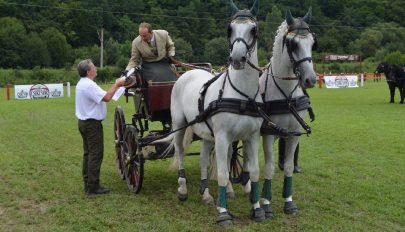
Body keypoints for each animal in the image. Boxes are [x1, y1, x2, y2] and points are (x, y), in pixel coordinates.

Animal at [170, 0, 266, 226]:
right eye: (229, 29)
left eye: (253, 29)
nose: (237, 59)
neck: (241, 95)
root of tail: (187, 73)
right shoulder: (222, 137)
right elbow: (223, 173)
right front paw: (223, 214)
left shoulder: (252, 136)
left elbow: (254, 172)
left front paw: (257, 209)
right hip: (179, 124)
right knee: (180, 150)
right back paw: (182, 189)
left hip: (206, 134)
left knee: (203, 159)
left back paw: (205, 194)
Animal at [258, 7, 318, 218]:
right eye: (292, 44)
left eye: (313, 42)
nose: (310, 80)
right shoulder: (268, 133)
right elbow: (268, 167)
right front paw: (266, 203)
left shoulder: (293, 133)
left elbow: (290, 166)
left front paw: (289, 201)